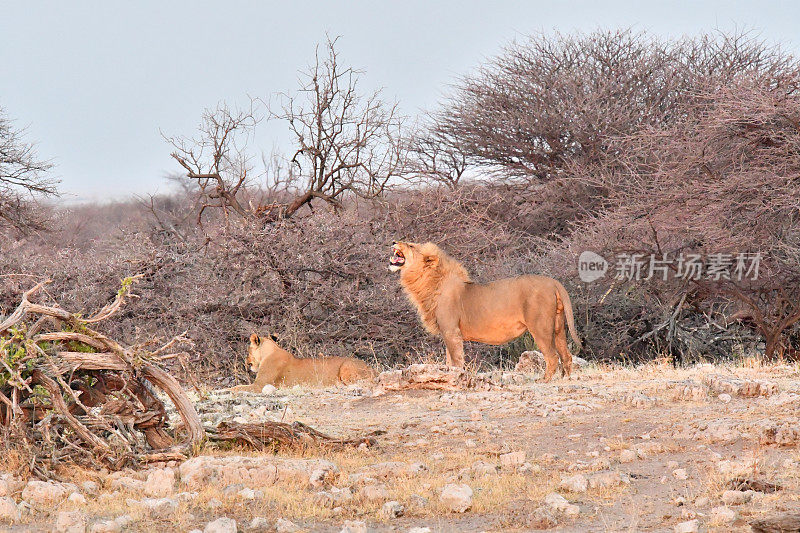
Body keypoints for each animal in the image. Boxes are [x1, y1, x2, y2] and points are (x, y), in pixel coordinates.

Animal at [390, 239, 580, 380]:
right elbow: (449, 362)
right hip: (558, 327)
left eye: (411, 245)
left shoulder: (451, 331)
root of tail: (553, 282)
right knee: (567, 355)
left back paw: (544, 381)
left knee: (552, 357)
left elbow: (456, 361)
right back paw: (565, 379)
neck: (431, 282)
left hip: (540, 327)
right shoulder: (447, 333)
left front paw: (457, 378)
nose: (394, 241)